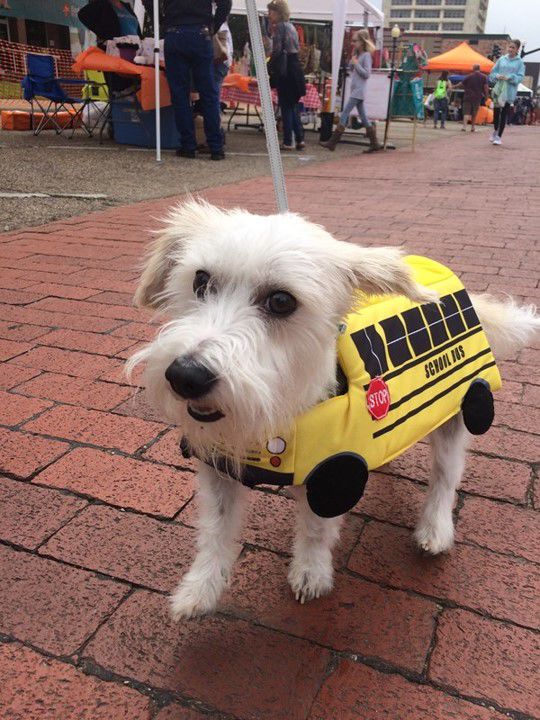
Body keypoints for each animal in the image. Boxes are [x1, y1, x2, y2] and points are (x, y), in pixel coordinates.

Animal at [127, 201, 540, 620]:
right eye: (200, 281)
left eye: (281, 301)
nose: (185, 376)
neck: (282, 413)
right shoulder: (219, 467)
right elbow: (215, 529)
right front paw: (200, 589)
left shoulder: (333, 476)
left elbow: (315, 530)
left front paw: (310, 573)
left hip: (461, 406)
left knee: (446, 473)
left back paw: (435, 528)